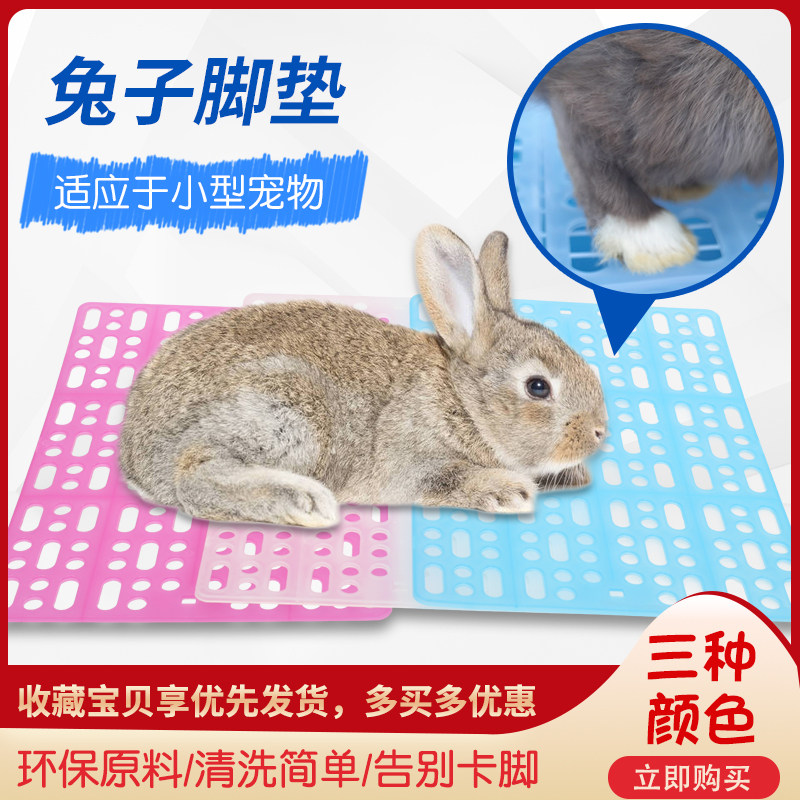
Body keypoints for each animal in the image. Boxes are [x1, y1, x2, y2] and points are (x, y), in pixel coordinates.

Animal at [119, 225, 607, 528]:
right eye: (537, 387)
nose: (600, 432)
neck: (462, 401)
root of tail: (135, 459)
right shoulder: (413, 459)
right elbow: (447, 478)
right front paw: (508, 491)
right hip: (289, 413)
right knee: (194, 475)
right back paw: (307, 503)